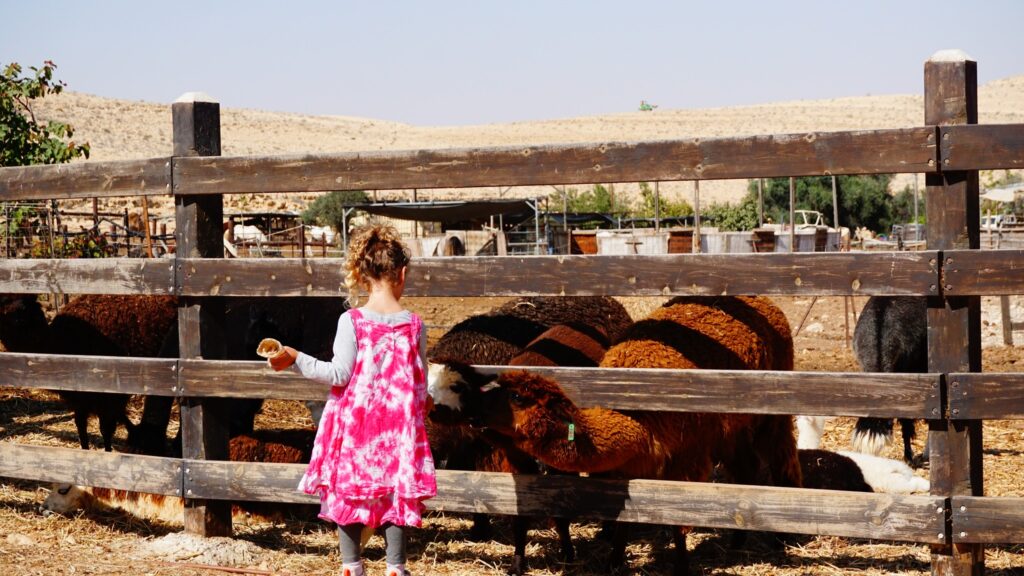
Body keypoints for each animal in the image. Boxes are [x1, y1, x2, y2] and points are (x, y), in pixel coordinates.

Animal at [432, 295, 798, 573]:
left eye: (517, 398)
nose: (474, 412)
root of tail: (760, 300)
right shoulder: (624, 466)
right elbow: (620, 519)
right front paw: (612, 561)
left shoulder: (684, 459)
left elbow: (678, 520)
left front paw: (680, 565)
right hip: (731, 427)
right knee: (746, 469)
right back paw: (738, 541)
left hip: (769, 411)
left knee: (781, 457)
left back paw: (782, 537)